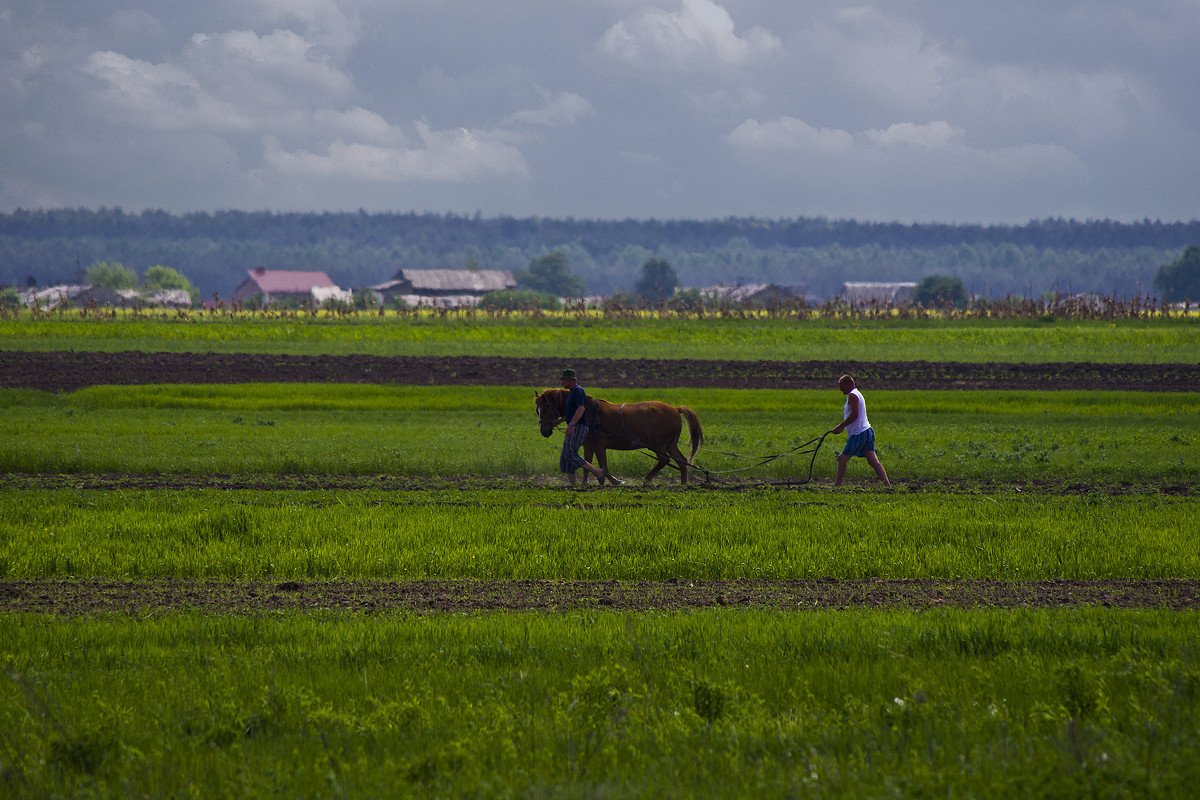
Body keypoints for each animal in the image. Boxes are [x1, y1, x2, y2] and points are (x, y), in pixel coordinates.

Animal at [535, 386, 700, 482]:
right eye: (537, 411)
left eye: (544, 409)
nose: (544, 431)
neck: (588, 413)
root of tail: (675, 409)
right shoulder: (589, 446)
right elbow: (586, 465)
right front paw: (585, 484)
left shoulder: (600, 446)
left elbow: (604, 467)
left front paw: (613, 480)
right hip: (670, 444)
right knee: (682, 461)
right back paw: (684, 484)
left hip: (657, 445)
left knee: (664, 460)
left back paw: (647, 479)